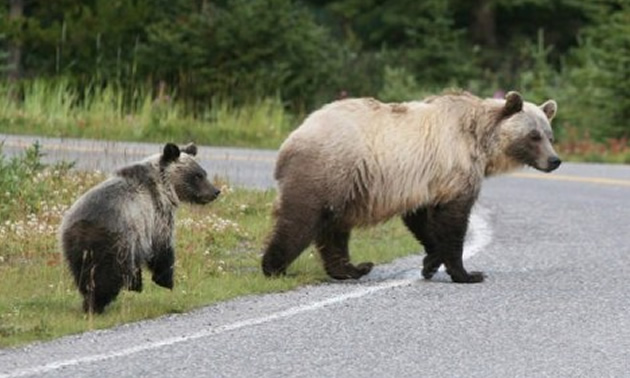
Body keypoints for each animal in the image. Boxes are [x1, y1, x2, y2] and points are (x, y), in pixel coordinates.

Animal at [59, 142, 222, 314]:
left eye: (204, 173)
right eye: (198, 176)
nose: (215, 191)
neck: (165, 186)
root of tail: (84, 226)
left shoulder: (139, 234)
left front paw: (138, 283)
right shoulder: (157, 216)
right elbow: (162, 248)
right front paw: (165, 280)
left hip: (75, 247)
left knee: (84, 275)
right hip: (113, 242)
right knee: (106, 276)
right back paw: (95, 305)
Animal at [262, 90, 564, 282]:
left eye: (549, 135)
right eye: (533, 136)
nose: (554, 160)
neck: (480, 140)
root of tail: (291, 139)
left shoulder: (424, 180)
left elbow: (423, 219)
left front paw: (430, 263)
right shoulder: (453, 168)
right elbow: (452, 221)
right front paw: (468, 273)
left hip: (345, 185)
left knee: (334, 228)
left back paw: (352, 268)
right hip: (328, 169)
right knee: (301, 220)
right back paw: (274, 267)